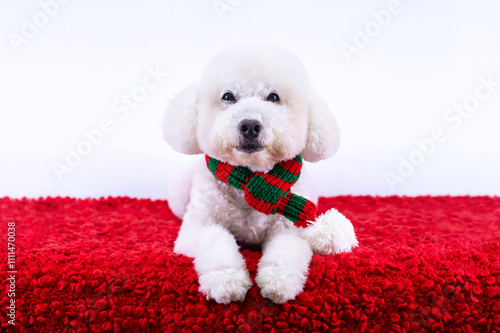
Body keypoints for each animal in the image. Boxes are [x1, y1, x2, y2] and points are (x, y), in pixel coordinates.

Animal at [163, 44, 356, 304]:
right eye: (228, 96)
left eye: (273, 97)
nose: (250, 126)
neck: (250, 180)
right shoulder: (196, 229)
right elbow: (214, 241)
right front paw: (227, 280)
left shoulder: (289, 228)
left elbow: (286, 250)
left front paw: (278, 281)